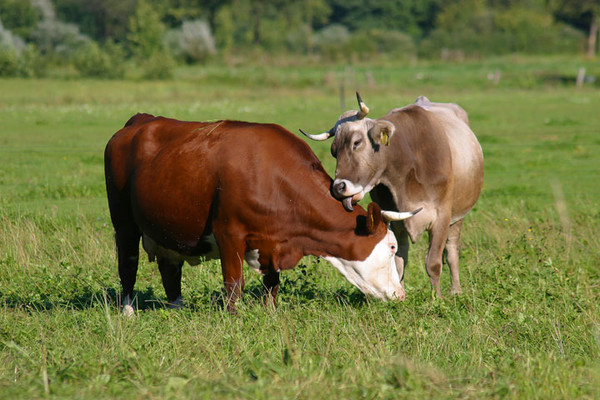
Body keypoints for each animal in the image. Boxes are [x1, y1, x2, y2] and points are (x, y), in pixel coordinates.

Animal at [103, 114, 420, 314]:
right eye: (392, 247)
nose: (402, 294)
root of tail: (139, 121)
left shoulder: (273, 242)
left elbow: (272, 285)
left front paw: (270, 313)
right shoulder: (229, 233)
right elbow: (234, 283)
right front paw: (234, 317)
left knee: (170, 269)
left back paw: (177, 309)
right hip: (124, 223)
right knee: (128, 266)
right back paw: (128, 311)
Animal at [300, 94, 482, 298]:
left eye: (356, 143)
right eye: (333, 151)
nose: (338, 187)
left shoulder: (442, 216)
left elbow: (434, 262)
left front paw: (437, 298)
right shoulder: (394, 219)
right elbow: (398, 261)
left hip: (458, 216)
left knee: (451, 251)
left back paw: (456, 290)